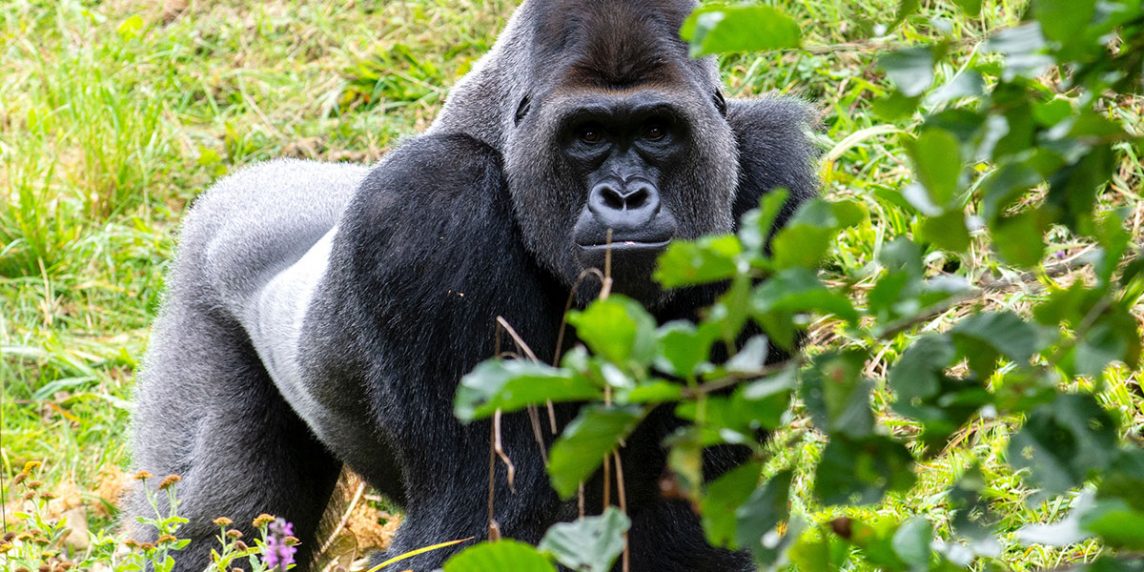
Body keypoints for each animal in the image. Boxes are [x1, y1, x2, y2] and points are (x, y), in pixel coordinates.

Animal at [127, 0, 817, 570]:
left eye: (655, 129)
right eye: (589, 134)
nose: (625, 197)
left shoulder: (772, 178)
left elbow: (692, 503)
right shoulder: (430, 205)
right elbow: (478, 522)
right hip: (200, 278)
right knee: (210, 528)